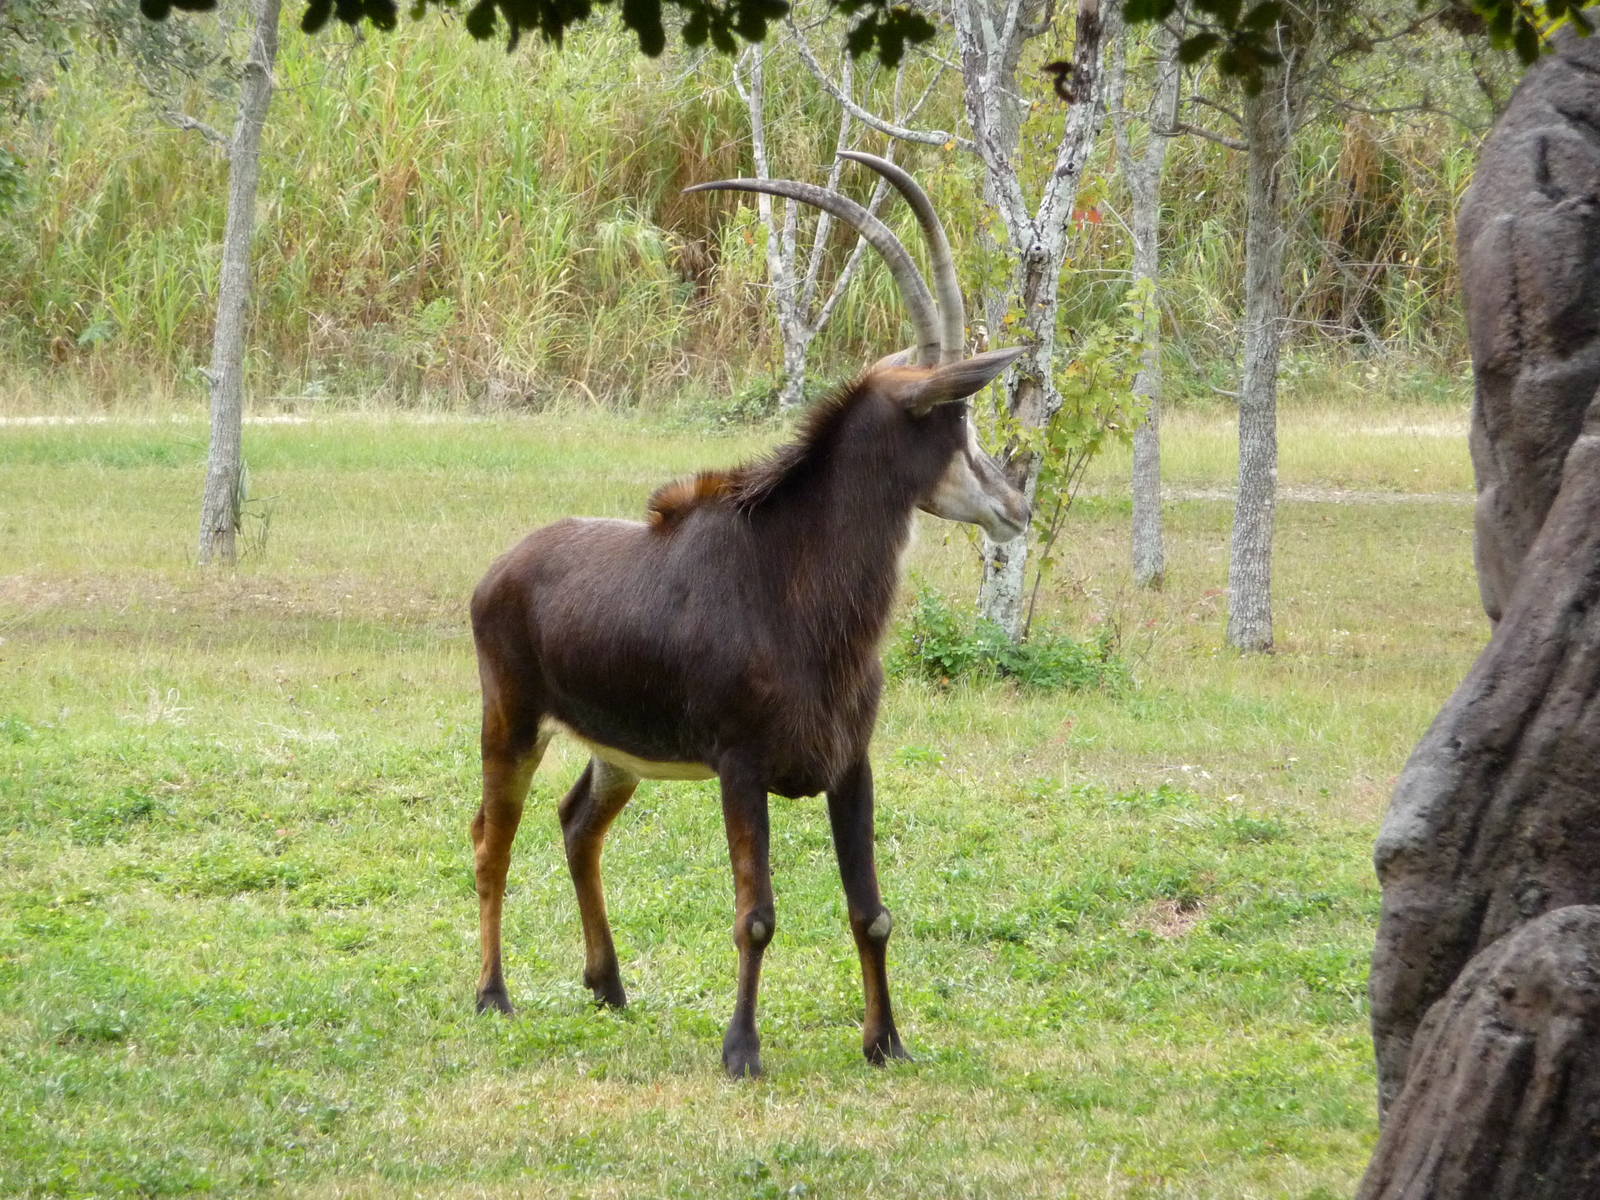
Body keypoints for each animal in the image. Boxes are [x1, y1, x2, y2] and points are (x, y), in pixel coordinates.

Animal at [468, 154, 1030, 1078]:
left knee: (578, 827)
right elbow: (756, 914)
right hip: (511, 725)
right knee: (493, 841)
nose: (1016, 506)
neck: (794, 589)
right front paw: (741, 1050)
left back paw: (608, 985)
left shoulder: (852, 766)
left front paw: (886, 1042)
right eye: (952, 419)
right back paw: (493, 995)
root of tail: (498, 570)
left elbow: (872, 912)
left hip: (618, 753)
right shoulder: (741, 767)